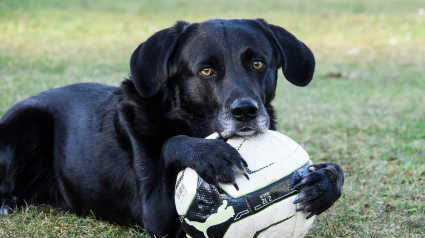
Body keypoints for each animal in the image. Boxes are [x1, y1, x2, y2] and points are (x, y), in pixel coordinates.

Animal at [0, 19, 342, 238]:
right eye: (206, 70)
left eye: (258, 64)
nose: (246, 111)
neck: (188, 121)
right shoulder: (156, 217)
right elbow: (170, 143)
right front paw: (211, 155)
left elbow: (336, 170)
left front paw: (324, 183)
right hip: (25, 123)